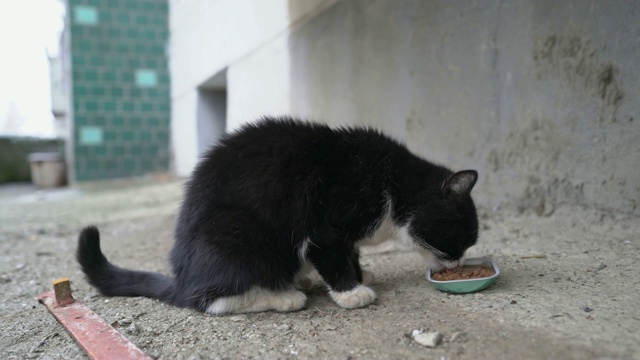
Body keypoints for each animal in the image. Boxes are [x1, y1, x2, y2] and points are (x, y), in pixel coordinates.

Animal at [76, 117, 480, 316]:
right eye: (462, 237)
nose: (459, 263)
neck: (393, 184)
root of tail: (182, 277)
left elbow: (349, 252)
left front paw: (360, 274)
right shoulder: (324, 223)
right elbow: (332, 254)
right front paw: (351, 291)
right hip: (240, 233)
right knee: (210, 300)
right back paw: (283, 296)